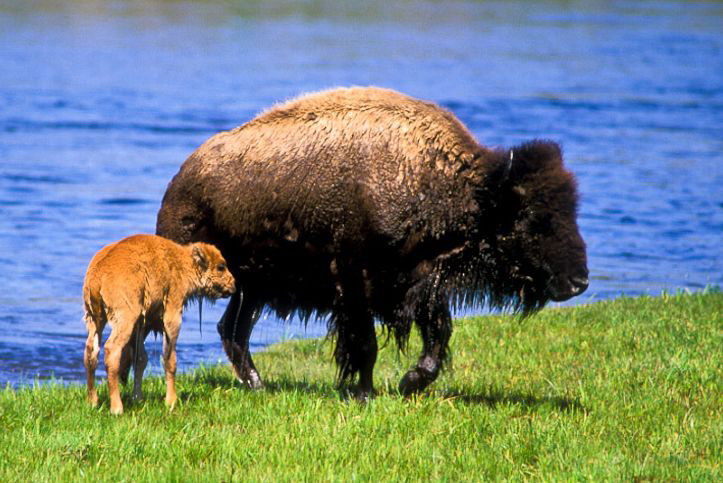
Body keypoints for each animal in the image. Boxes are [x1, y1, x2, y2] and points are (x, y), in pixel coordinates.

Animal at [156, 87, 588, 399]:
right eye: (533, 219)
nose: (579, 282)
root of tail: (182, 177)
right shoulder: (354, 281)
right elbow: (365, 342)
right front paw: (364, 393)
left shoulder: (423, 282)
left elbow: (438, 335)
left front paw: (410, 382)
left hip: (253, 287)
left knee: (233, 329)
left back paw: (258, 386)